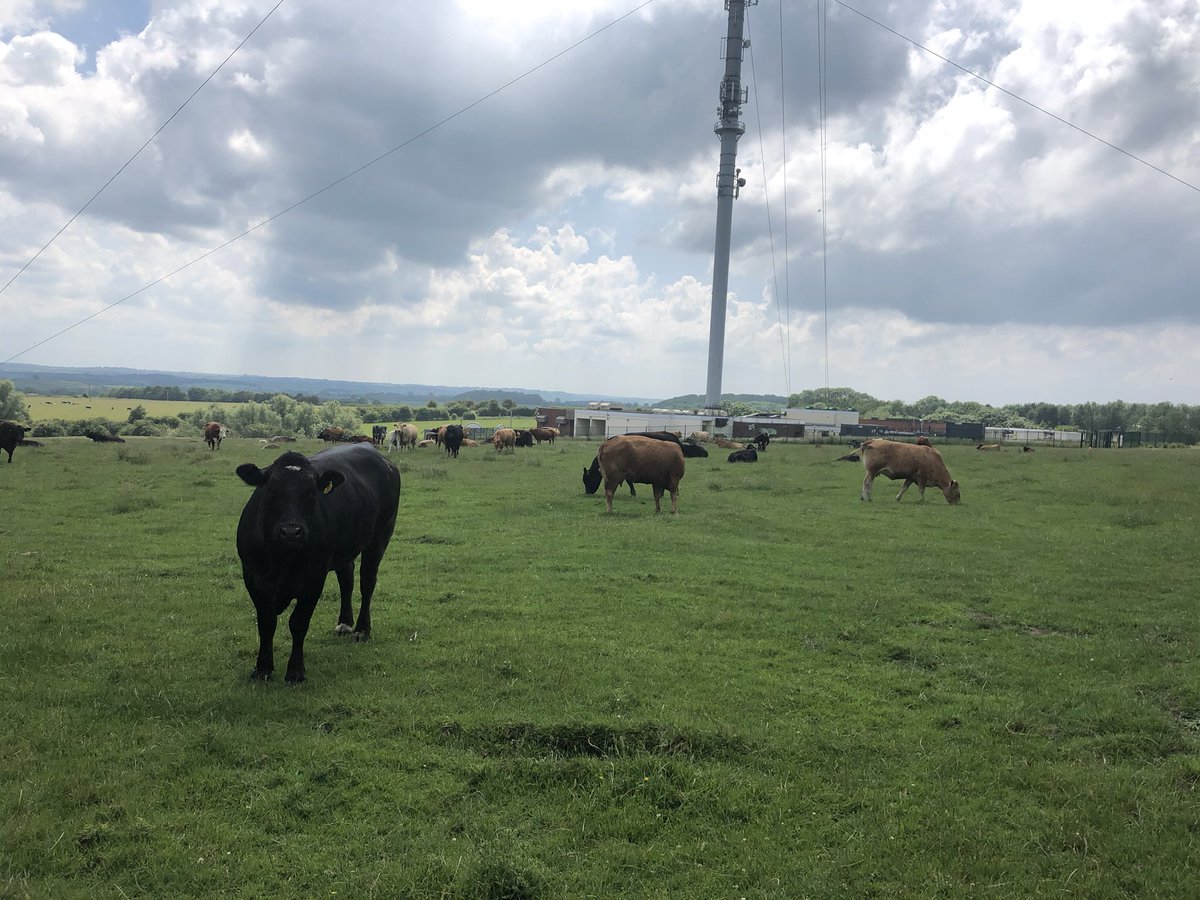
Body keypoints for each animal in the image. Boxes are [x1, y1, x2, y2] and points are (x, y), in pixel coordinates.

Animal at [235, 443, 401, 684]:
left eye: (311, 492)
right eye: (271, 490)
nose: (291, 531)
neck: (282, 558)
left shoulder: (314, 579)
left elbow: (298, 622)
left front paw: (295, 671)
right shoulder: (253, 576)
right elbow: (266, 623)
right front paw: (262, 668)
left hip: (380, 535)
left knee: (367, 582)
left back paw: (362, 630)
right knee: (346, 578)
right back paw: (344, 624)